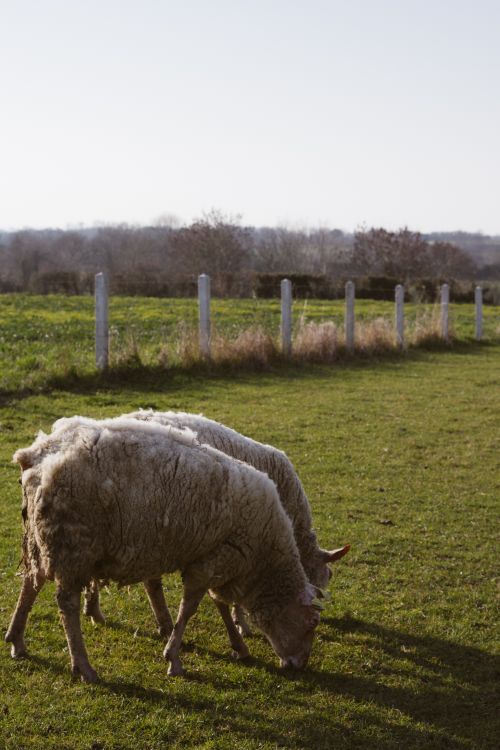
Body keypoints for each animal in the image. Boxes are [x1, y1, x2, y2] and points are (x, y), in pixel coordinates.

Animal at [6, 417, 321, 682]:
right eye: (311, 624)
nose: (299, 665)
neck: (264, 561)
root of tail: (35, 456)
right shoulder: (215, 560)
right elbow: (190, 609)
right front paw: (174, 658)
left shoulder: (210, 559)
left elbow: (216, 602)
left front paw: (238, 645)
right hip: (73, 545)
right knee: (66, 604)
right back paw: (83, 666)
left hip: (43, 538)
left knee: (32, 582)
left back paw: (16, 639)